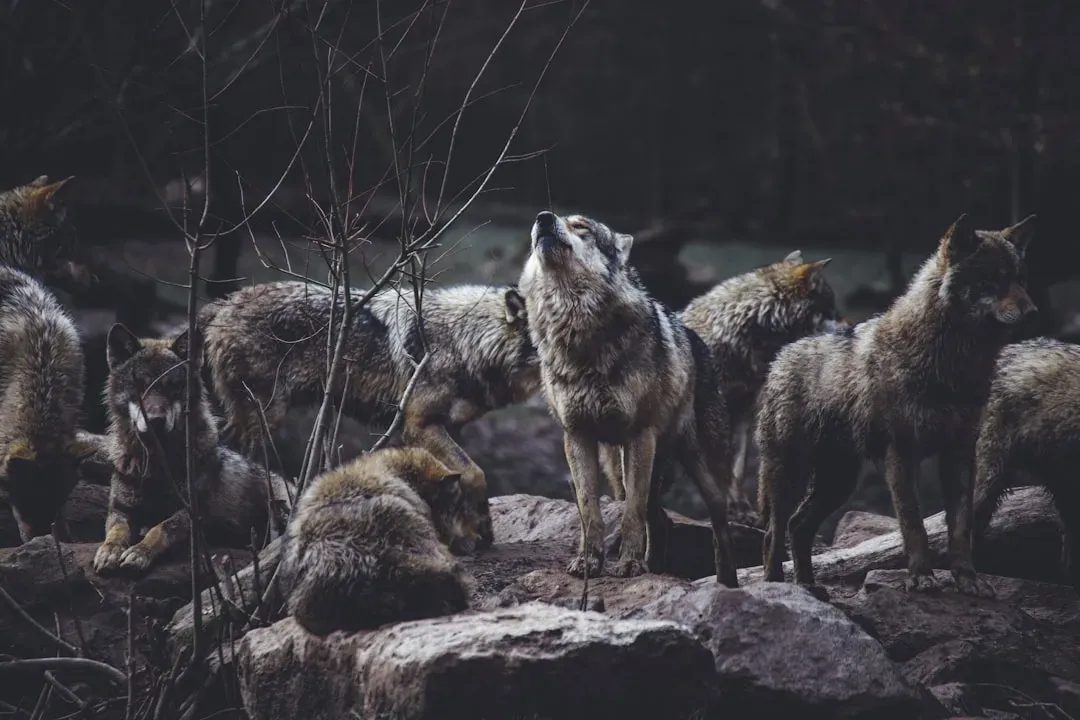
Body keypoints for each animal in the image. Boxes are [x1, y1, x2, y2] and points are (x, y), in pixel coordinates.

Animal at [92, 323, 294, 575]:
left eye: (173, 388)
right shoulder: (120, 510)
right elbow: (116, 531)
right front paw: (109, 551)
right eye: (140, 387)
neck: (158, 465)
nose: (156, 421)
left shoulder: (192, 513)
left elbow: (160, 528)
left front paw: (139, 552)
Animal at [198, 280, 540, 548]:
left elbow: (457, 478)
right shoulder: (419, 424)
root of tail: (223, 303)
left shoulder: (447, 428)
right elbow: (475, 472)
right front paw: (481, 530)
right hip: (266, 417)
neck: (466, 341)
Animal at [518, 210, 737, 585]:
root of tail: (695, 337)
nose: (543, 218)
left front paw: (631, 565)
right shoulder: (576, 437)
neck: (577, 333)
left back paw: (727, 582)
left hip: (701, 470)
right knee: (660, 519)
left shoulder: (639, 435)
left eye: (582, 227)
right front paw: (589, 562)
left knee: (719, 526)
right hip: (621, 467)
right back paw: (657, 568)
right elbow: (589, 510)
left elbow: (631, 514)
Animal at [756, 214, 1036, 597]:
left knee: (799, 525)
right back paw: (777, 588)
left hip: (839, 482)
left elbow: (960, 528)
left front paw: (968, 579)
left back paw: (808, 587)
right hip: (791, 475)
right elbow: (913, 525)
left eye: (1021, 279)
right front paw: (921, 578)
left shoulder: (960, 454)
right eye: (993, 279)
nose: (1032, 311)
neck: (951, 362)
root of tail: (782, 355)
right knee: (775, 530)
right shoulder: (901, 454)